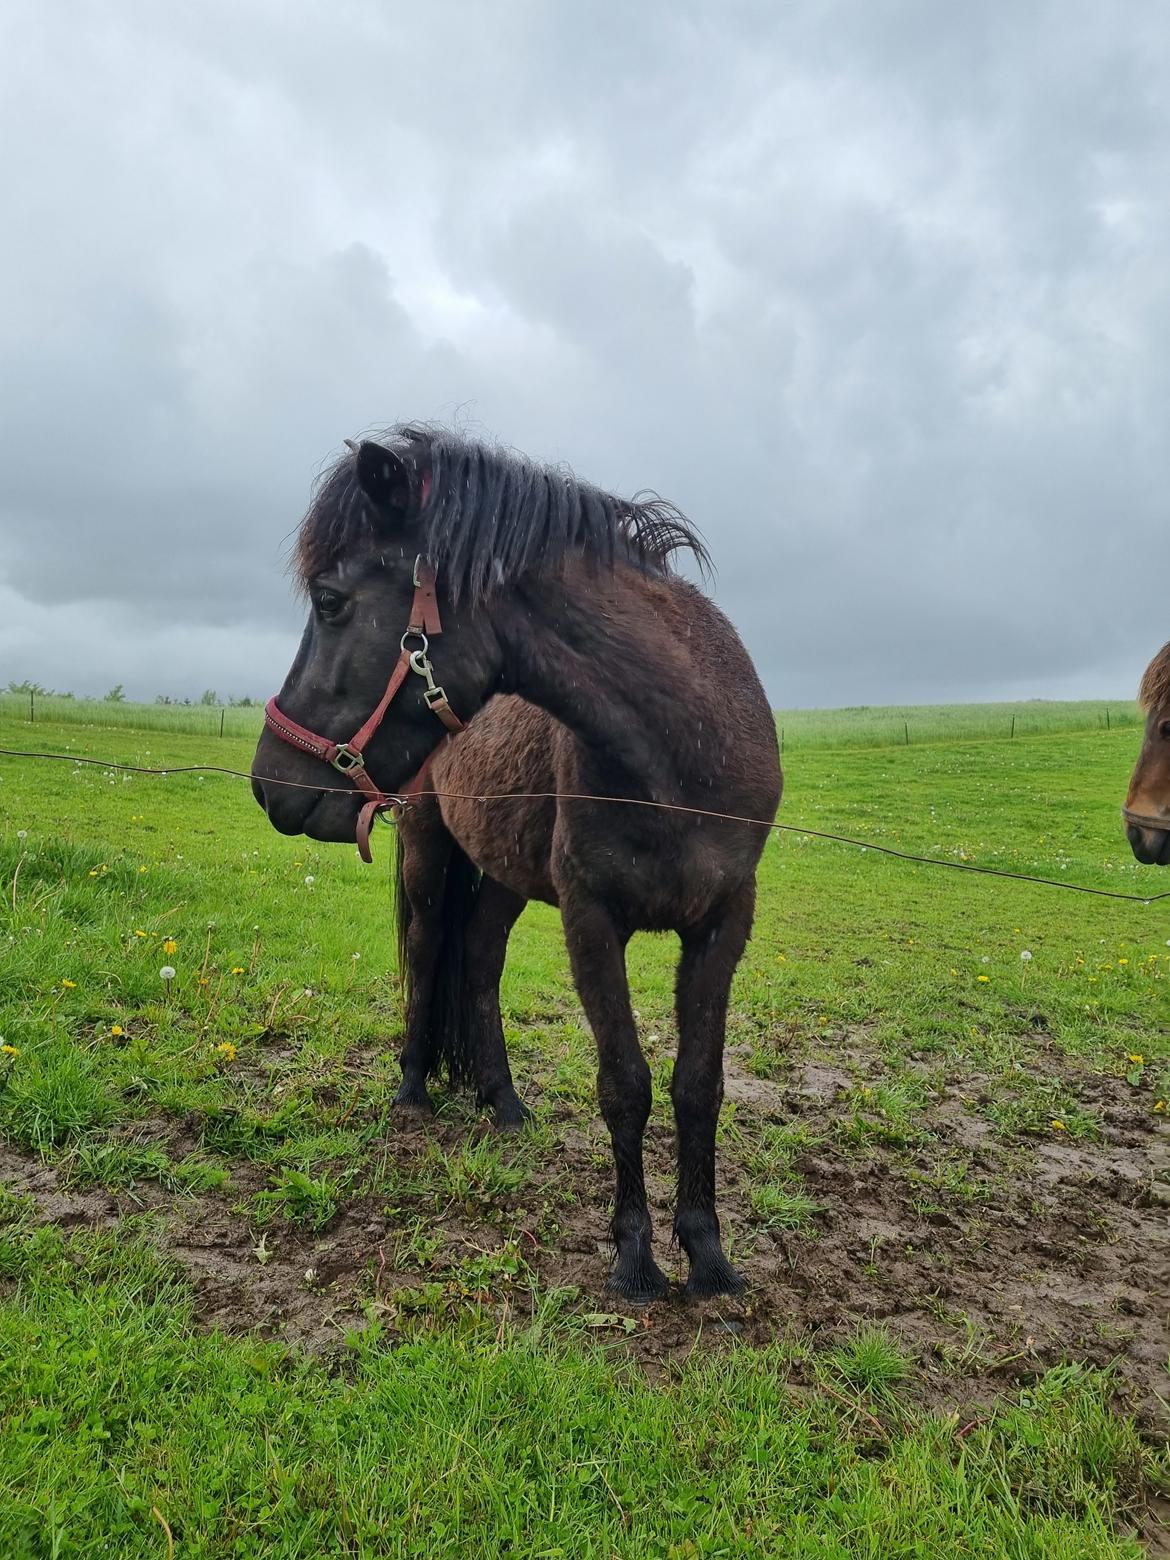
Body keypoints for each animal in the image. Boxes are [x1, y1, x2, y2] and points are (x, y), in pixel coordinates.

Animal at [255, 427, 789, 1304]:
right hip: (429, 850)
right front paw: (635, 1258)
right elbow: (626, 1084)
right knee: (429, 951)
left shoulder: (722, 923)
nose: (269, 781)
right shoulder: (591, 919)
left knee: (478, 959)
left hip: (504, 877)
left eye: (331, 600)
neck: (680, 756)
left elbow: (697, 1085)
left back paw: (502, 1101)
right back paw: (413, 1090)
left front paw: (707, 1254)